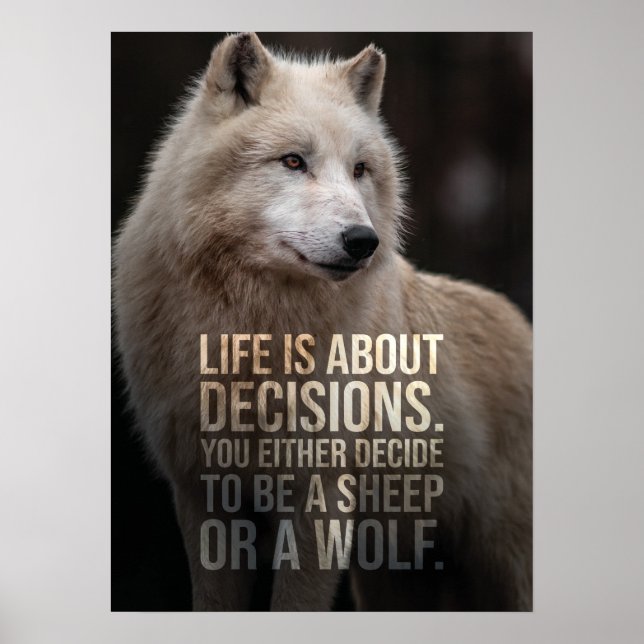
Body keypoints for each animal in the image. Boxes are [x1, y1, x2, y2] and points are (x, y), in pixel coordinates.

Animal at [113, 32, 532, 611]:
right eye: (293, 161)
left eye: (359, 170)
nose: (363, 241)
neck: (253, 337)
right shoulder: (203, 497)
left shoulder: (321, 498)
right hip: (390, 579)